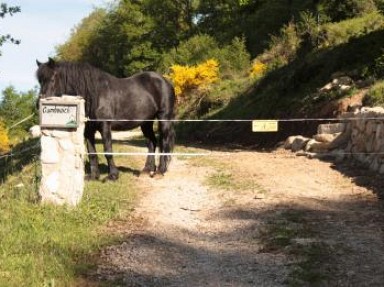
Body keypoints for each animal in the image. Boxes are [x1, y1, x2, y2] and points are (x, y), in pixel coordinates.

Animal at [36, 58, 175, 180]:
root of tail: (165, 81)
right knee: (152, 142)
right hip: (146, 123)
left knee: (164, 142)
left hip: (164, 118)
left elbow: (108, 150)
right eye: (39, 81)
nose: (39, 103)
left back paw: (160, 171)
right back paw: (147, 170)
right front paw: (93, 176)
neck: (95, 95)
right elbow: (92, 153)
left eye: (52, 78)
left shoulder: (105, 126)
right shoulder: (88, 130)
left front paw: (112, 175)